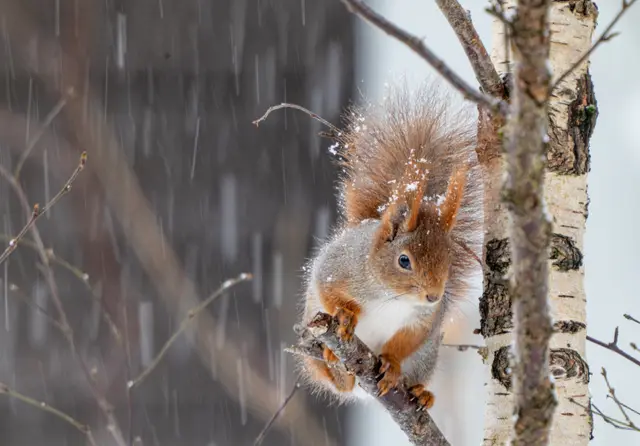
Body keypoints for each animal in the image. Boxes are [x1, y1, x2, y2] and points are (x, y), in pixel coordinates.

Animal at [297, 84, 482, 409]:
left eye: (449, 258)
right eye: (404, 261)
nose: (433, 296)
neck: (391, 295)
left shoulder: (422, 320)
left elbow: (407, 339)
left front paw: (392, 366)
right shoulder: (337, 267)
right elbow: (327, 291)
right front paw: (348, 314)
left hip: (425, 358)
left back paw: (421, 392)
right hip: (312, 347)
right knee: (337, 382)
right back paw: (335, 364)